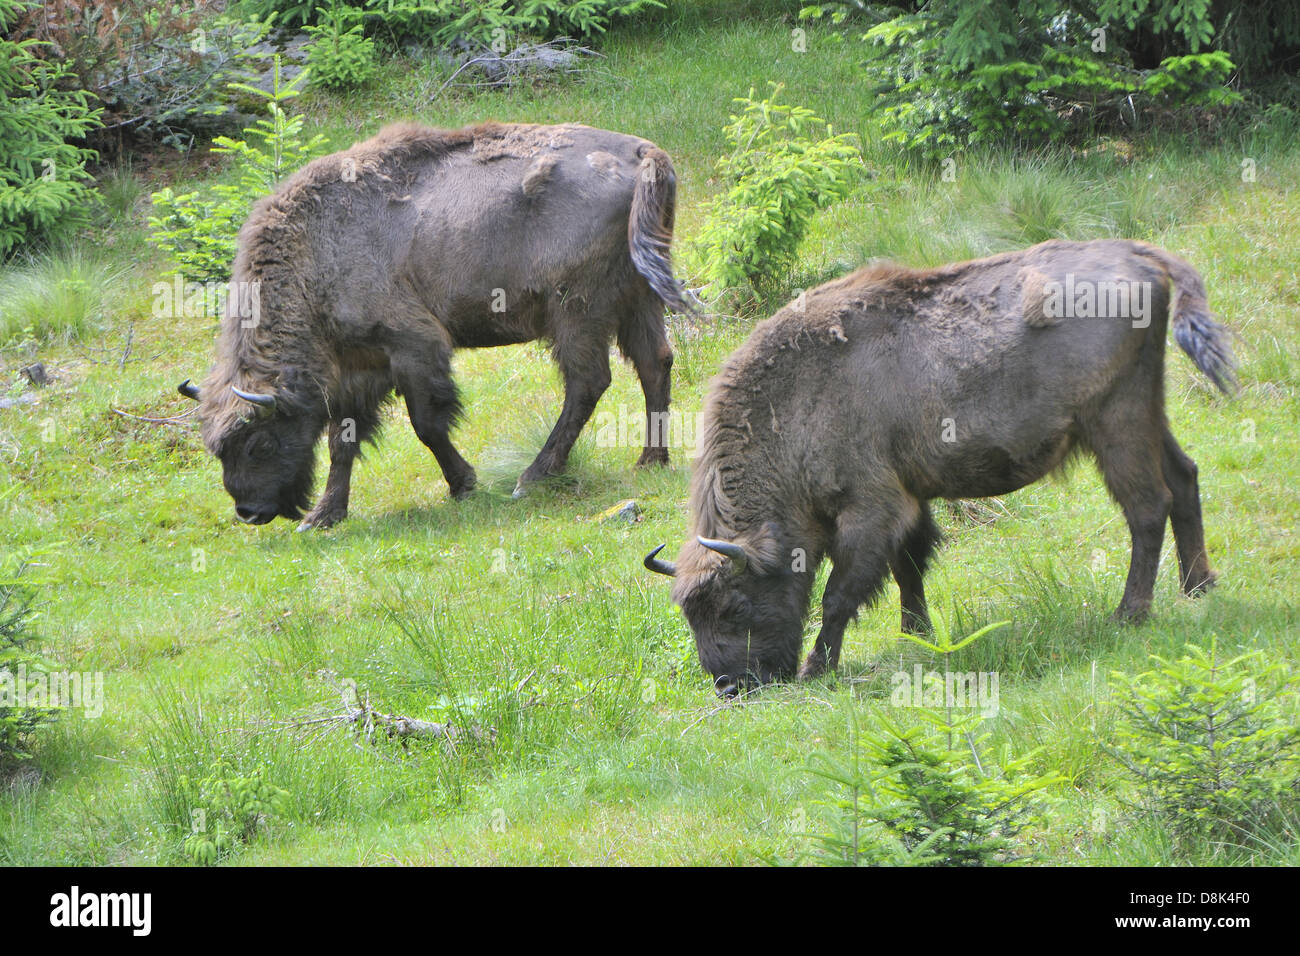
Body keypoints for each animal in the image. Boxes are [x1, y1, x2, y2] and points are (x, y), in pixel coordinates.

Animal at [178, 121, 692, 529]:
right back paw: (650, 460)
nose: (250, 511)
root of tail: (644, 154)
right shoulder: (355, 369)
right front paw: (323, 516)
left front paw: (463, 484)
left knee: (588, 381)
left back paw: (532, 477)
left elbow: (426, 424)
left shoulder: (412, 347)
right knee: (655, 364)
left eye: (259, 443)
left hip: (576, 312)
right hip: (638, 298)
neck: (313, 253)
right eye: (217, 448)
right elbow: (343, 440)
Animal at [644, 239, 1236, 698]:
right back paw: (1197, 587)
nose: (731, 687)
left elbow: (841, 592)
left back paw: (1129, 613)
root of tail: (1143, 255)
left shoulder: (869, 508)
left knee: (1148, 506)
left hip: (1114, 425)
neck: (794, 399)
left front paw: (819, 667)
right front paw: (918, 636)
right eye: (691, 614)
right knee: (1185, 477)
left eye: (735, 606)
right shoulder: (907, 500)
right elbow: (910, 568)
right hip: (1146, 413)